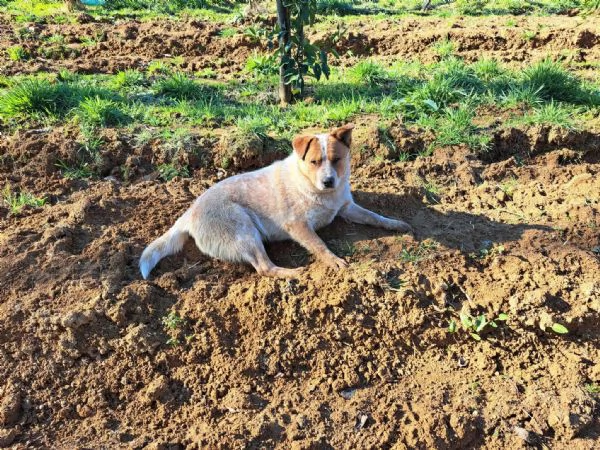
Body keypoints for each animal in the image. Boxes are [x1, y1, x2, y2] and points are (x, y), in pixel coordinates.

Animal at [141, 123, 412, 278]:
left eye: (336, 159)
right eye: (314, 161)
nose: (328, 181)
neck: (318, 191)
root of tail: (188, 214)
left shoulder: (347, 207)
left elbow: (375, 216)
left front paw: (396, 224)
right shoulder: (298, 225)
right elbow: (319, 244)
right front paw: (334, 261)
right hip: (245, 230)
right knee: (264, 269)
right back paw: (294, 274)